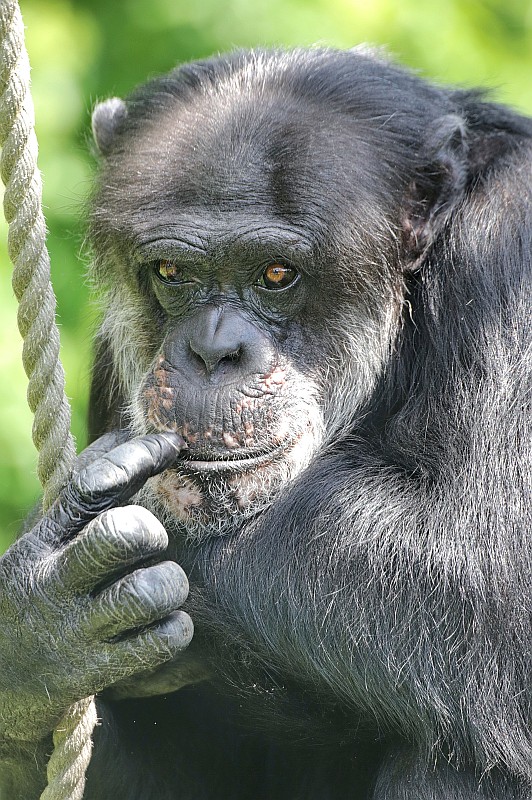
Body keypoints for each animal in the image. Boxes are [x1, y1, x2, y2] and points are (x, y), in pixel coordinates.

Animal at [1, 47, 532, 796]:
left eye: (277, 274)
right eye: (171, 270)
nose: (213, 349)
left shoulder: (512, 248)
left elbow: (490, 563)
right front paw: (38, 630)